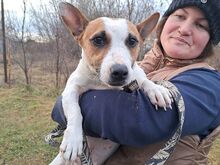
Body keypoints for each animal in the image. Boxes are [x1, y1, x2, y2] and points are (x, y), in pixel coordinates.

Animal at [50, 1, 172, 164]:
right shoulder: (71, 88)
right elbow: (75, 111)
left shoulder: (136, 76)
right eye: (98, 40)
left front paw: (157, 90)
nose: (120, 72)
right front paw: (73, 140)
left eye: (132, 41)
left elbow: (145, 81)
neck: (101, 83)